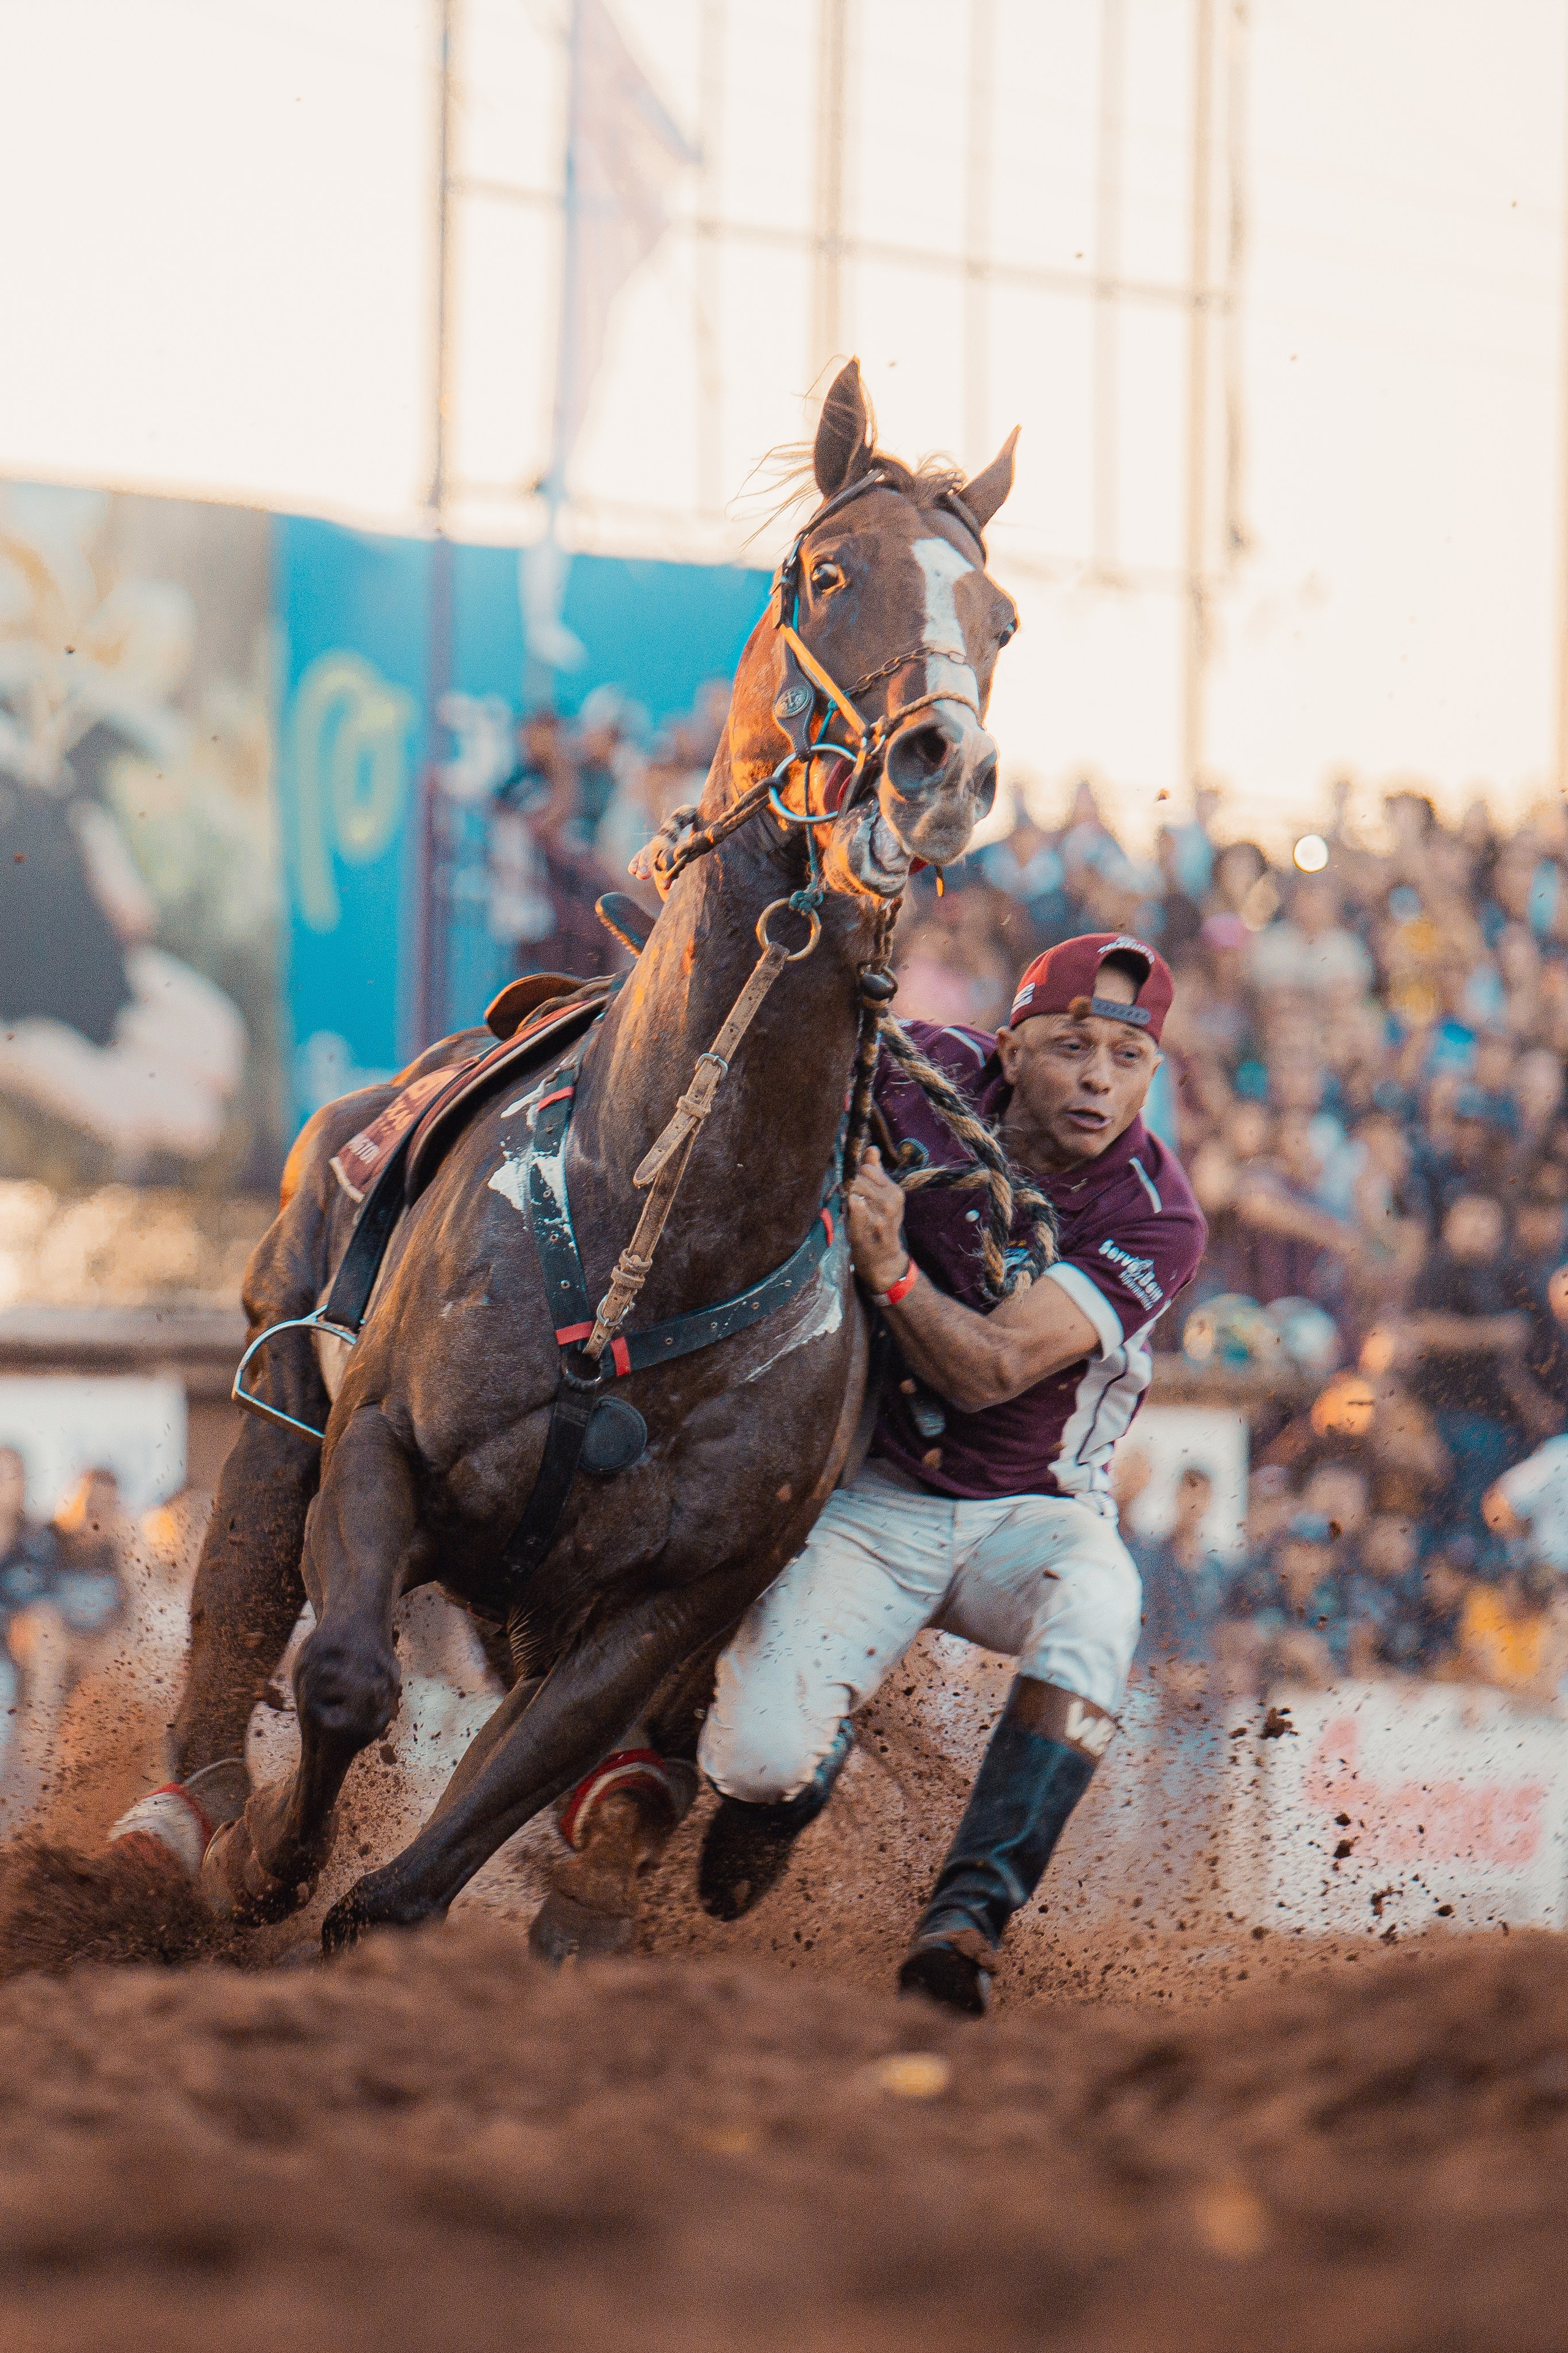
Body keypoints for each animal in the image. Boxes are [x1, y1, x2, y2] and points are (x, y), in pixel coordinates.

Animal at [113, 361, 1022, 1955]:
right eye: (826, 569)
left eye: (1003, 618)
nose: (942, 766)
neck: (648, 1233)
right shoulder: (377, 1444)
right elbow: (343, 1674)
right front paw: (264, 1864)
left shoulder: (668, 1608)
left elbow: (470, 1825)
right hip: (281, 1386)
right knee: (235, 1602)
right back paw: (186, 1822)